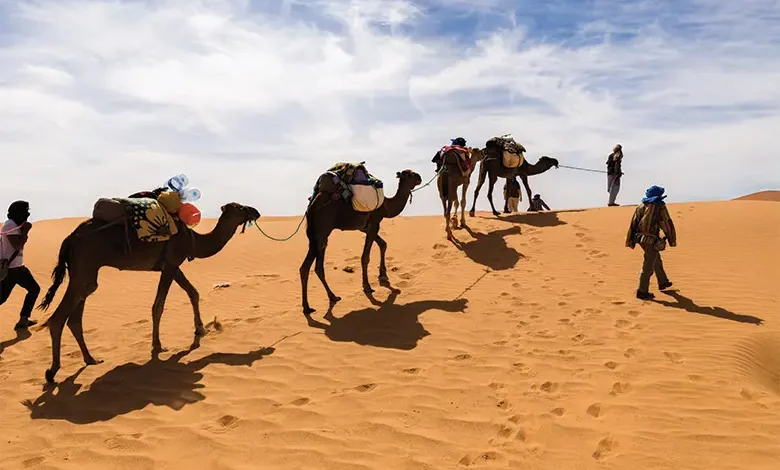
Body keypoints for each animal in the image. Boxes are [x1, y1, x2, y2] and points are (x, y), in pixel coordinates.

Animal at [37, 202, 260, 383]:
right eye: (240, 208)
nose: (256, 211)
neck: (193, 240)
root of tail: (70, 238)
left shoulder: (171, 265)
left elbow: (193, 292)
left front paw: (199, 329)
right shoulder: (171, 263)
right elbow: (158, 305)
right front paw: (158, 346)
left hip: (84, 273)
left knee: (75, 316)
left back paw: (91, 359)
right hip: (85, 267)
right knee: (58, 318)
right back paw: (52, 372)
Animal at [301, 169, 422, 315]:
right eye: (410, 174)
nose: (419, 178)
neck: (386, 207)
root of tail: (311, 206)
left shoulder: (365, 228)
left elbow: (383, 244)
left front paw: (383, 275)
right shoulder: (375, 222)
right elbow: (365, 257)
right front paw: (367, 286)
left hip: (314, 235)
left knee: (309, 266)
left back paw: (315, 304)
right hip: (322, 230)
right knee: (314, 266)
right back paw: (323, 300)